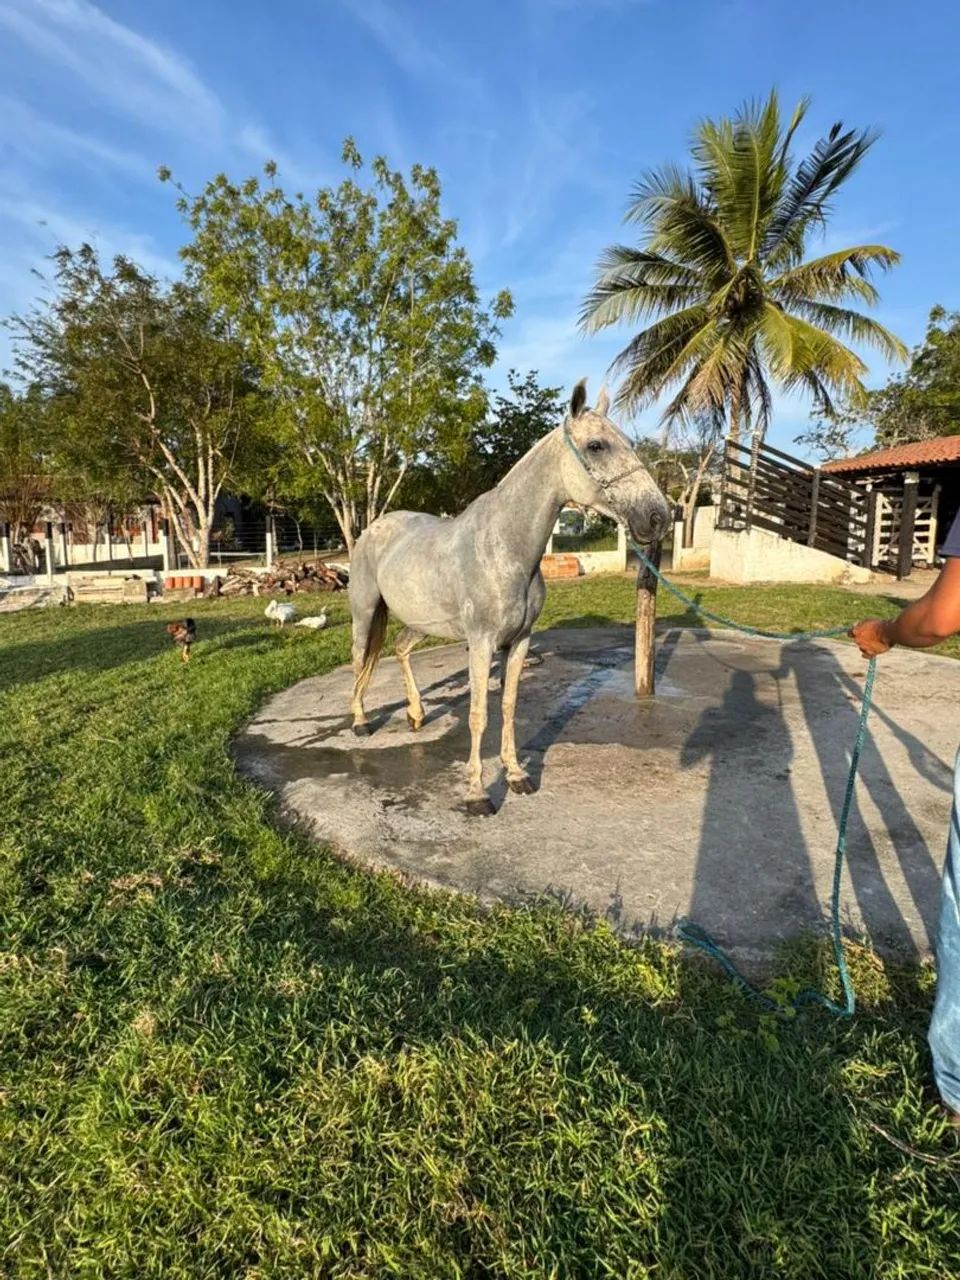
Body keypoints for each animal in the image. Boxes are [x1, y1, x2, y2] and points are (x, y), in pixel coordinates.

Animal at [347, 379, 672, 815]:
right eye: (596, 446)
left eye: (630, 442)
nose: (658, 516)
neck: (504, 547)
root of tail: (373, 528)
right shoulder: (481, 642)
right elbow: (478, 714)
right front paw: (476, 793)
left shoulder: (518, 641)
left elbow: (508, 706)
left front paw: (517, 775)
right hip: (365, 613)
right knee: (359, 660)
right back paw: (360, 721)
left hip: (422, 622)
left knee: (400, 649)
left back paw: (416, 713)